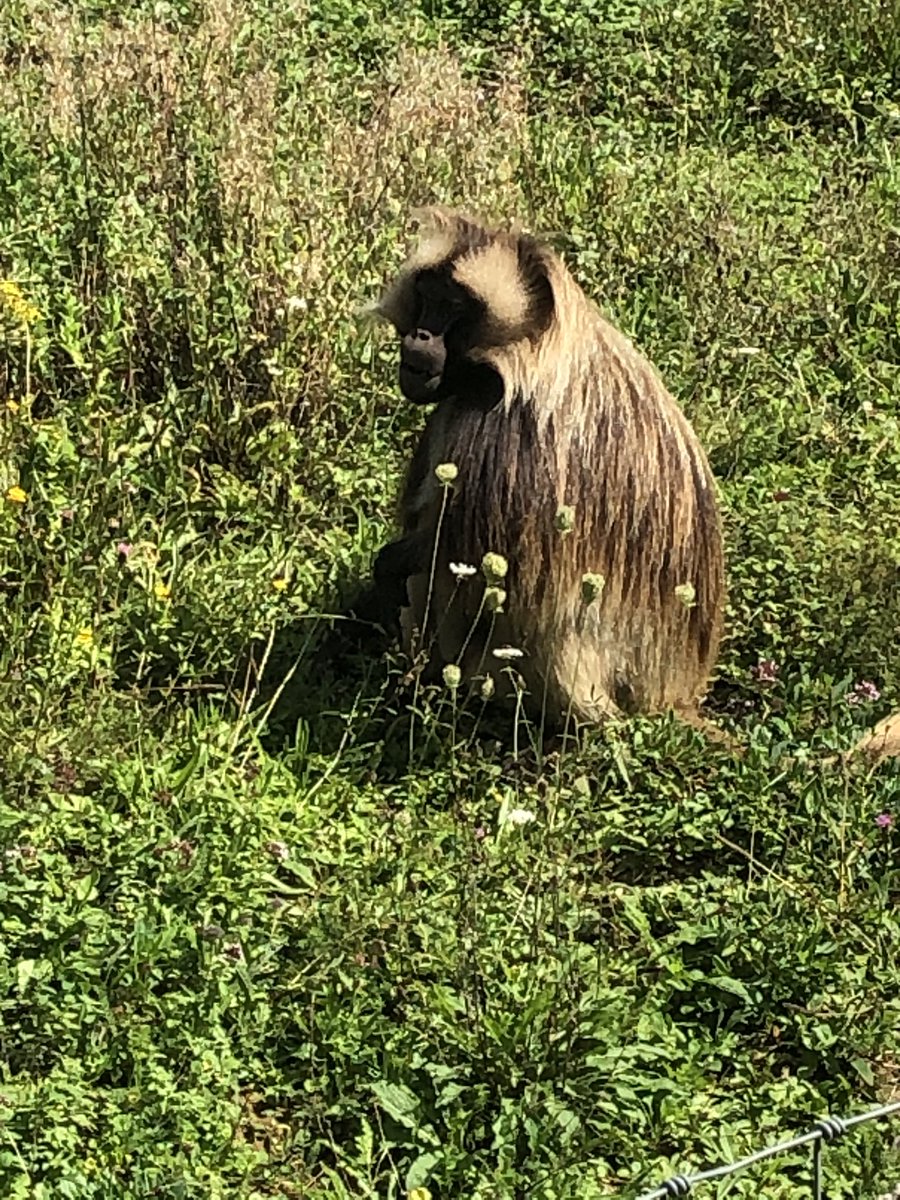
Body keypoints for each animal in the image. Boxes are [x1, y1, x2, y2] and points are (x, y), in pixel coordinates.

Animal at [370, 207, 726, 729]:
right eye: (428, 296)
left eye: (454, 307)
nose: (420, 337)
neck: (529, 346)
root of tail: (673, 695)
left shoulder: (496, 426)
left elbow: (462, 557)